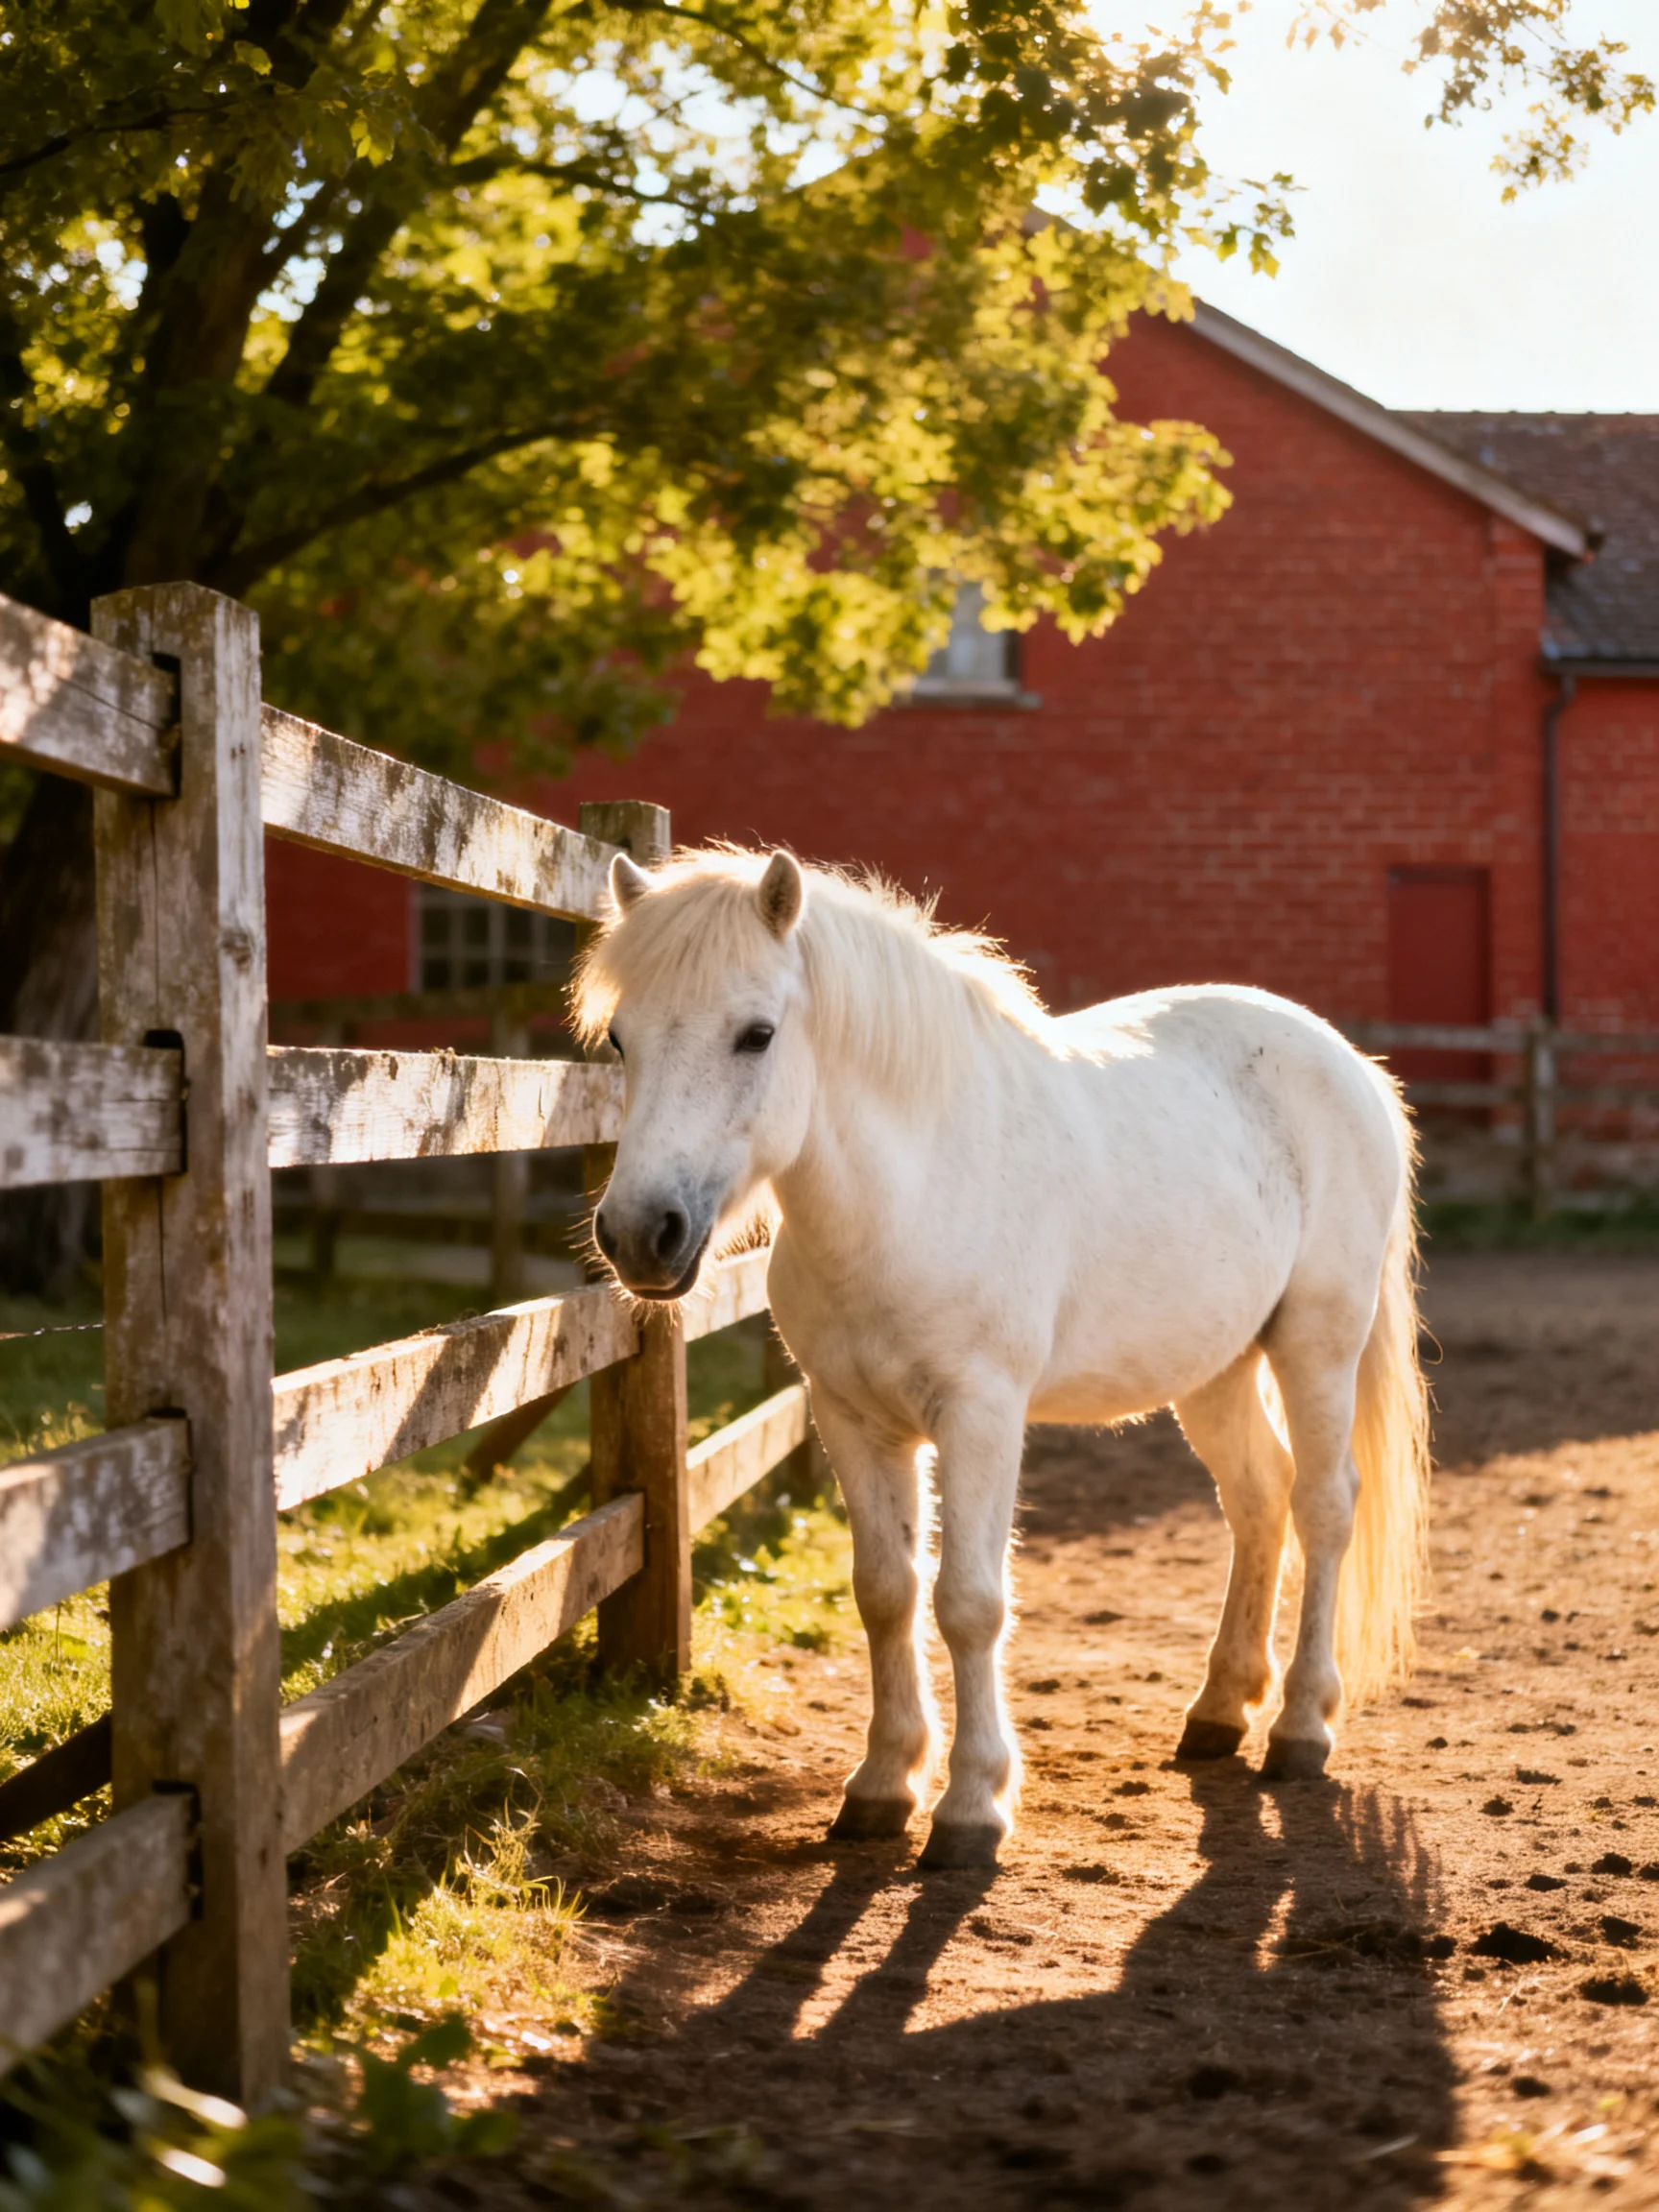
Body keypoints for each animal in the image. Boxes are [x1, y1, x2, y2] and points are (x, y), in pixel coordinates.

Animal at [577, 845, 1430, 1870]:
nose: (640, 1235)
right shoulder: (851, 1418)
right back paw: (1220, 1711)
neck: (911, 1191)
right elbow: (886, 1592)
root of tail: (1350, 1065)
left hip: (1317, 1344)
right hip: (1216, 1368)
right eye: (620, 1040)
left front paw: (971, 1807)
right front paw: (881, 1785)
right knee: (1259, 1499)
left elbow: (969, 1602)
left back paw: (1301, 1727)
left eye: (756, 1035)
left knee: (1323, 1505)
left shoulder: (980, 1416)